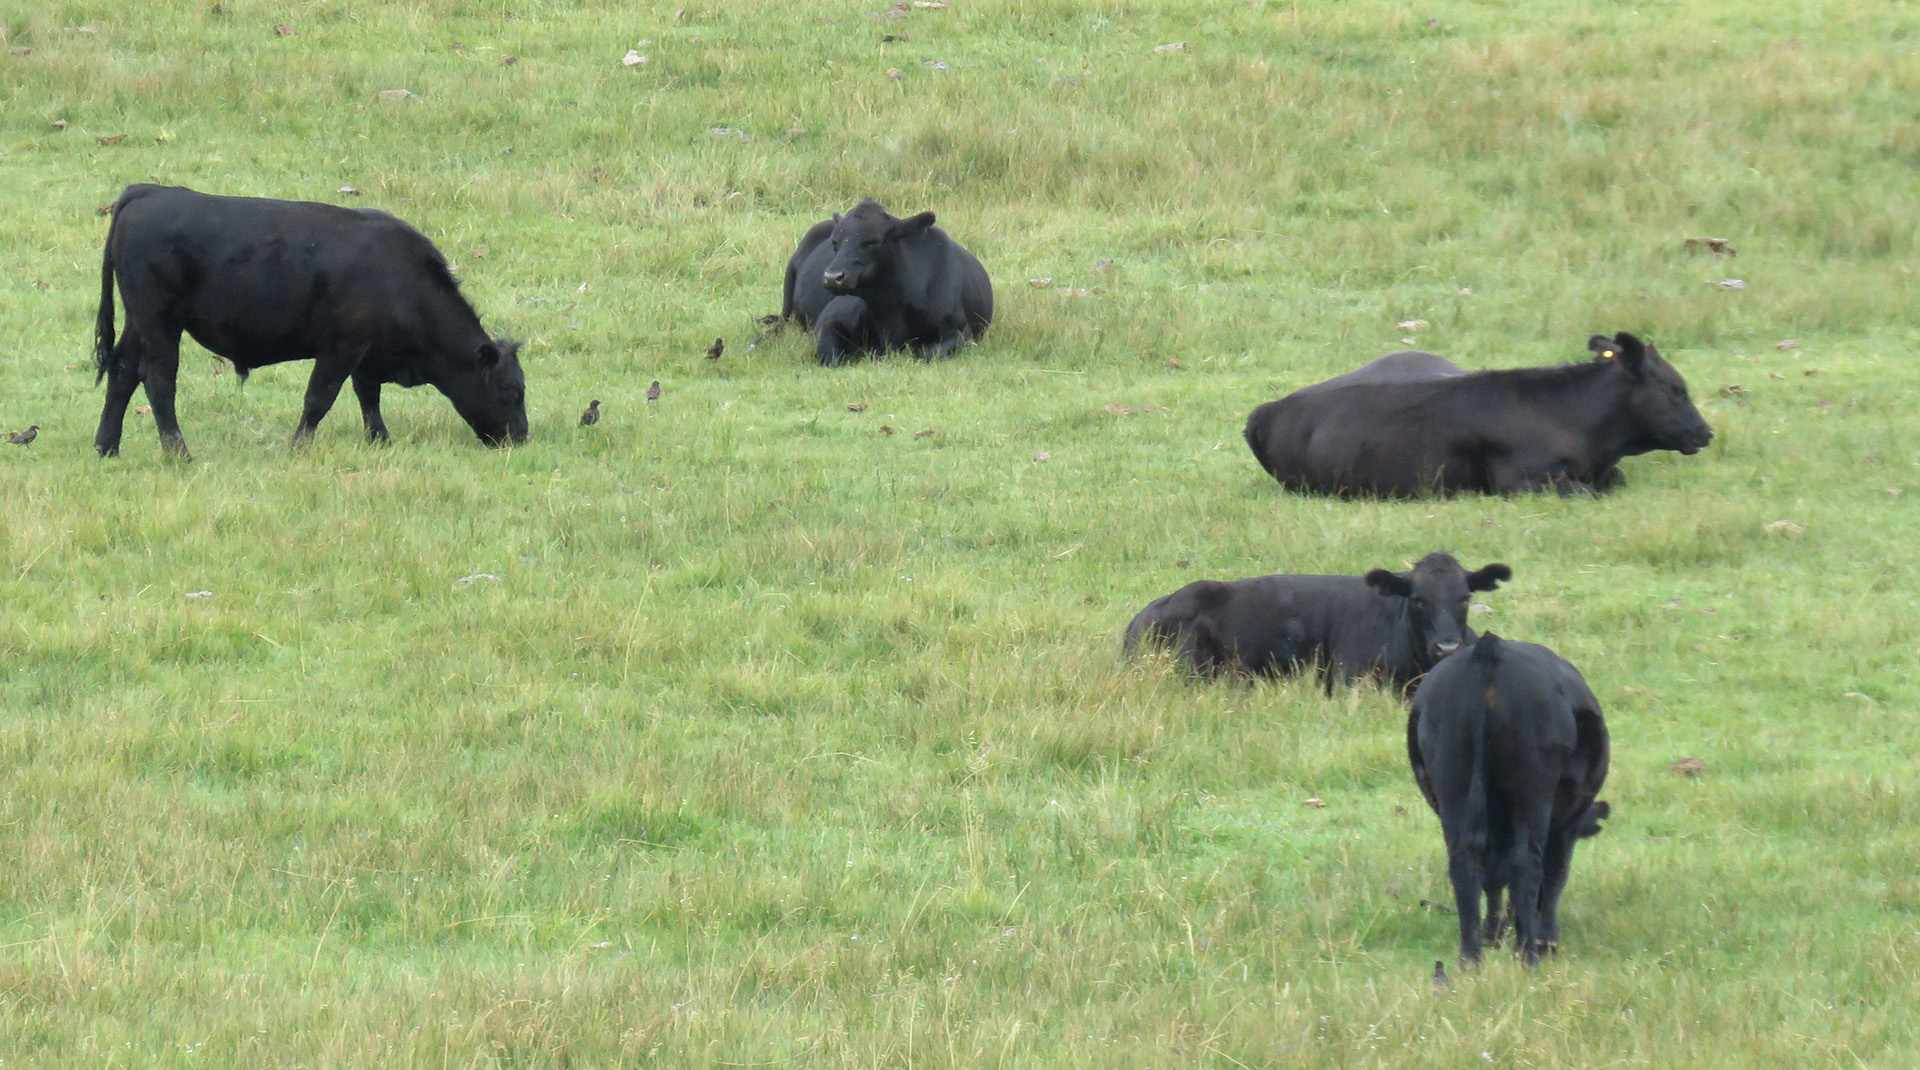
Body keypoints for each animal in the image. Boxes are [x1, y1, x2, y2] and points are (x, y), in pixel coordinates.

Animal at [90, 184, 526, 459]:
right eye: (512, 392)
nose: (521, 437)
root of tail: (149, 191)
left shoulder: (367, 352)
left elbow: (368, 396)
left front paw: (379, 440)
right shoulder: (342, 346)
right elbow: (320, 398)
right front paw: (299, 447)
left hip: (138, 322)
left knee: (123, 372)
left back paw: (107, 447)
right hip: (160, 321)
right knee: (159, 381)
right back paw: (179, 454)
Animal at [775, 197, 990, 364]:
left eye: (872, 242)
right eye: (835, 243)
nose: (832, 278)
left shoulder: (959, 331)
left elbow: (924, 354)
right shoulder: (828, 320)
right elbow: (832, 357)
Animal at [1405, 630, 1612, 964]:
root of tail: (1490, 647)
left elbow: (1494, 877)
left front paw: (1494, 932)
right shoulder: (1566, 826)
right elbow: (1554, 874)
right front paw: (1544, 938)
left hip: (1453, 782)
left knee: (1466, 862)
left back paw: (1471, 956)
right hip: (1533, 789)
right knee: (1526, 863)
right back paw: (1529, 955)